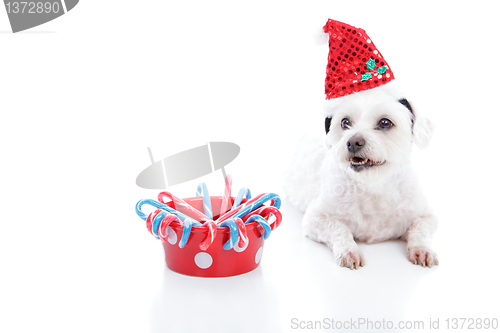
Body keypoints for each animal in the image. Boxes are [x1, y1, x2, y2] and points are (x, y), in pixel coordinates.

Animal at [286, 81, 438, 268]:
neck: (373, 185)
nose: (353, 142)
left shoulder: (426, 214)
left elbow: (420, 227)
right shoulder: (314, 218)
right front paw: (349, 250)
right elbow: (339, 228)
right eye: (345, 122)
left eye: (385, 122)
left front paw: (422, 249)